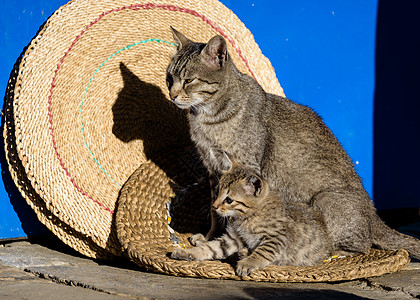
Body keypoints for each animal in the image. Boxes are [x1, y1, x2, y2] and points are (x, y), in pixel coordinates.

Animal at [165, 27, 420, 258]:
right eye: (169, 78)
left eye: (188, 80)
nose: (172, 95)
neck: (207, 118)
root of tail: (373, 212)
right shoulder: (213, 169)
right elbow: (215, 210)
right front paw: (212, 237)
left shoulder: (246, 167)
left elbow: (233, 211)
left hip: (325, 200)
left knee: (360, 247)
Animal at [169, 158, 334, 276]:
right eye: (216, 191)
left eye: (229, 200)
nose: (214, 206)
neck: (247, 217)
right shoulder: (232, 238)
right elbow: (210, 248)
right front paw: (187, 253)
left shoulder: (276, 238)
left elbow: (262, 252)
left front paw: (247, 263)